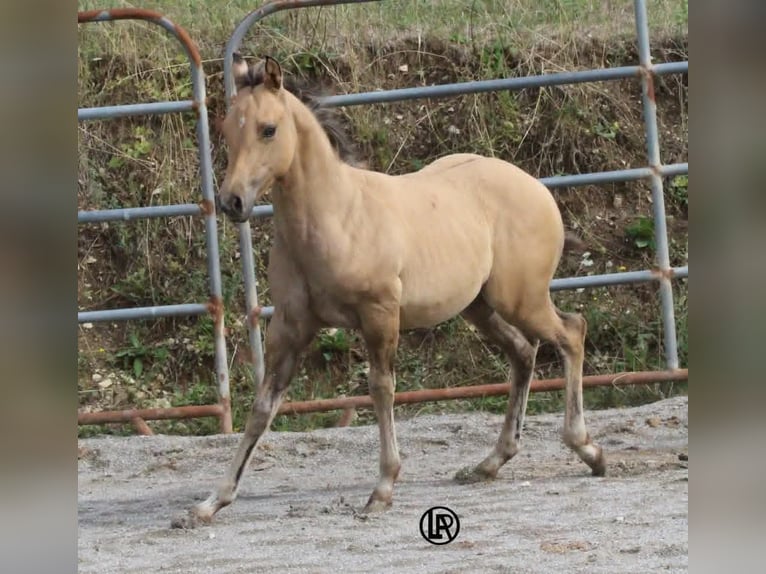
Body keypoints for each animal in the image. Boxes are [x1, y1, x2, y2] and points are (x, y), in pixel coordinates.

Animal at [172, 55, 605, 528]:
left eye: (268, 129)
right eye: (226, 129)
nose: (232, 201)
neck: (336, 217)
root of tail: (536, 187)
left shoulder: (379, 313)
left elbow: (381, 388)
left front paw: (382, 489)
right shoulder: (290, 324)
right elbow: (263, 406)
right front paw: (210, 503)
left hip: (521, 299)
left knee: (572, 332)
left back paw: (588, 449)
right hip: (479, 306)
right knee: (523, 353)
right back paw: (490, 463)